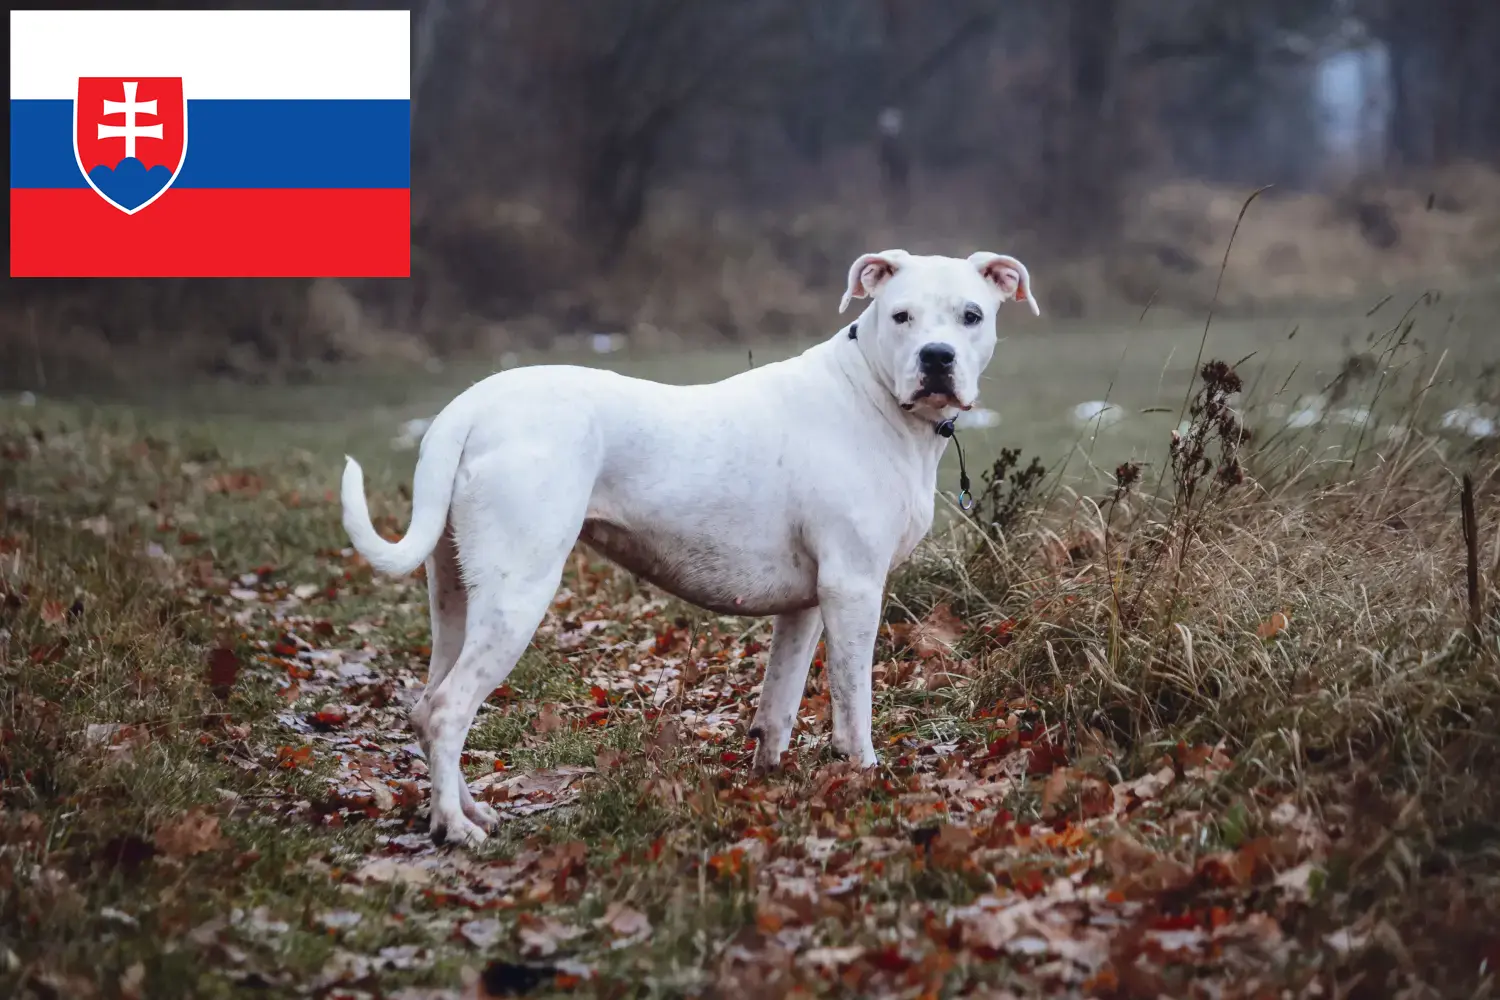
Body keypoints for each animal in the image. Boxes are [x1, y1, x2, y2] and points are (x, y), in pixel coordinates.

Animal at [343, 250, 1038, 845]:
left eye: (971, 316)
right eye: (901, 316)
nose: (937, 357)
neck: (873, 394)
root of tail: (469, 406)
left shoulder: (808, 605)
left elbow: (780, 703)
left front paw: (771, 779)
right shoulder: (854, 589)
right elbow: (852, 701)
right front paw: (863, 774)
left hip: (456, 596)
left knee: (428, 704)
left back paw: (466, 810)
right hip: (518, 593)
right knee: (447, 711)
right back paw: (454, 829)